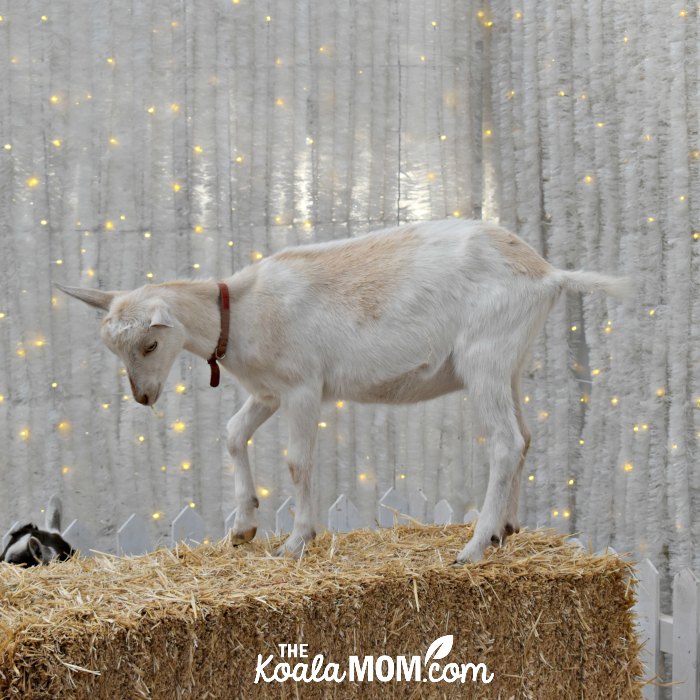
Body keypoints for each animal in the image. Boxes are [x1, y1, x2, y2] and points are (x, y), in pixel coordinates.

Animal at [58, 219, 628, 564]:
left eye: (151, 343)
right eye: (114, 348)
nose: (143, 398)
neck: (242, 312)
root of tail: (549, 273)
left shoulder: (302, 388)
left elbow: (297, 462)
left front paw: (295, 541)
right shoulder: (268, 392)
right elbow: (232, 434)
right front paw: (243, 527)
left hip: (484, 358)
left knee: (507, 442)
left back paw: (473, 547)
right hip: (509, 363)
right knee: (526, 436)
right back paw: (505, 528)